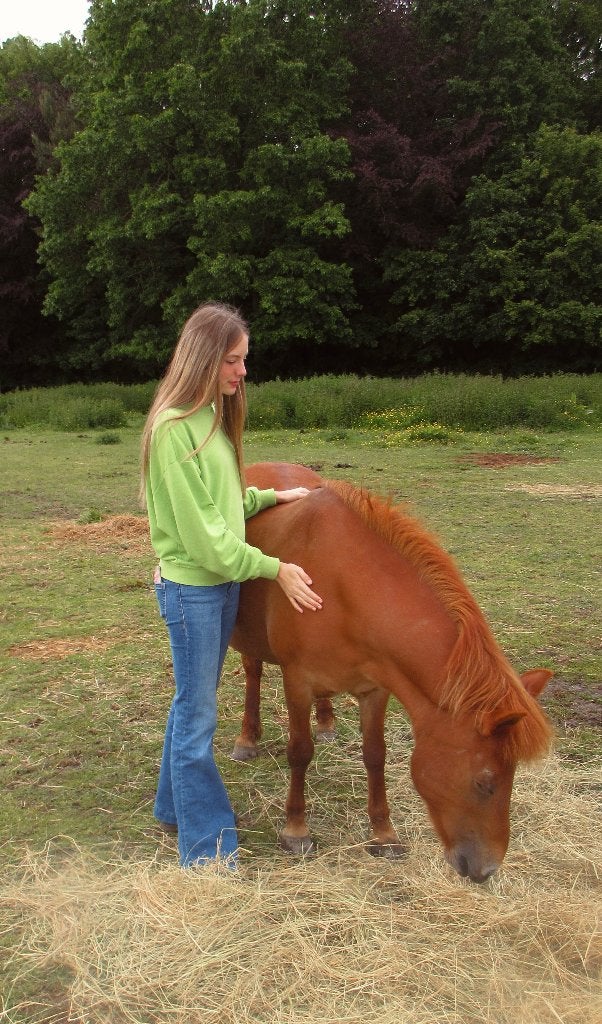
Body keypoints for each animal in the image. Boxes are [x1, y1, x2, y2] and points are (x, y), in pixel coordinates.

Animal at [229, 462, 553, 883]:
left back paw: (327, 721)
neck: (344, 585)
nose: (486, 869)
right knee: (253, 673)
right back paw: (247, 738)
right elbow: (300, 751)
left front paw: (383, 835)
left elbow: (375, 755)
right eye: (485, 782)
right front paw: (296, 830)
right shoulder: (297, 679)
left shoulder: (376, 686)